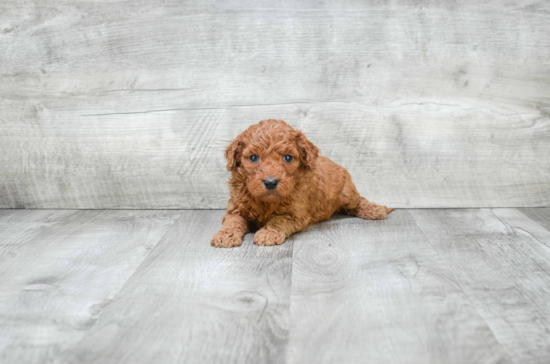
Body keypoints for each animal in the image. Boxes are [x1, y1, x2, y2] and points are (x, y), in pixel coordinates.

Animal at [212, 119, 396, 247]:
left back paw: (376, 209)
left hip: (347, 193)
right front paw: (225, 236)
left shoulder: (296, 214)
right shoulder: (236, 208)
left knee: (358, 202)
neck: (267, 202)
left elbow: (278, 220)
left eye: (288, 157)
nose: (271, 182)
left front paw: (268, 233)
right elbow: (232, 221)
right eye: (253, 158)